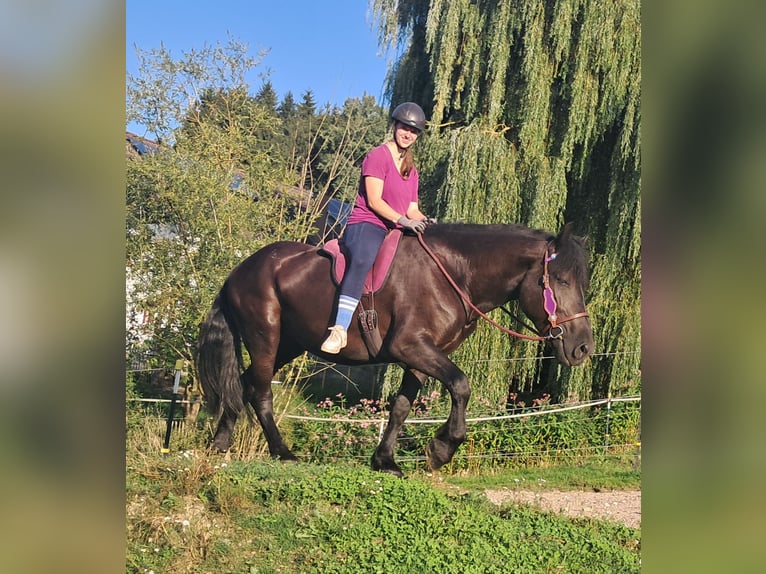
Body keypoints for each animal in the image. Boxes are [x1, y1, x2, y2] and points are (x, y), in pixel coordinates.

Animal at [196, 222, 593, 477]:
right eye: (560, 280)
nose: (583, 347)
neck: (454, 274)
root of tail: (241, 269)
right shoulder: (411, 347)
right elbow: (461, 385)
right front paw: (442, 448)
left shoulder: (420, 357)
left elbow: (401, 408)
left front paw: (385, 460)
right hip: (265, 339)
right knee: (260, 392)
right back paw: (282, 452)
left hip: (288, 345)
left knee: (243, 383)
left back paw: (221, 441)